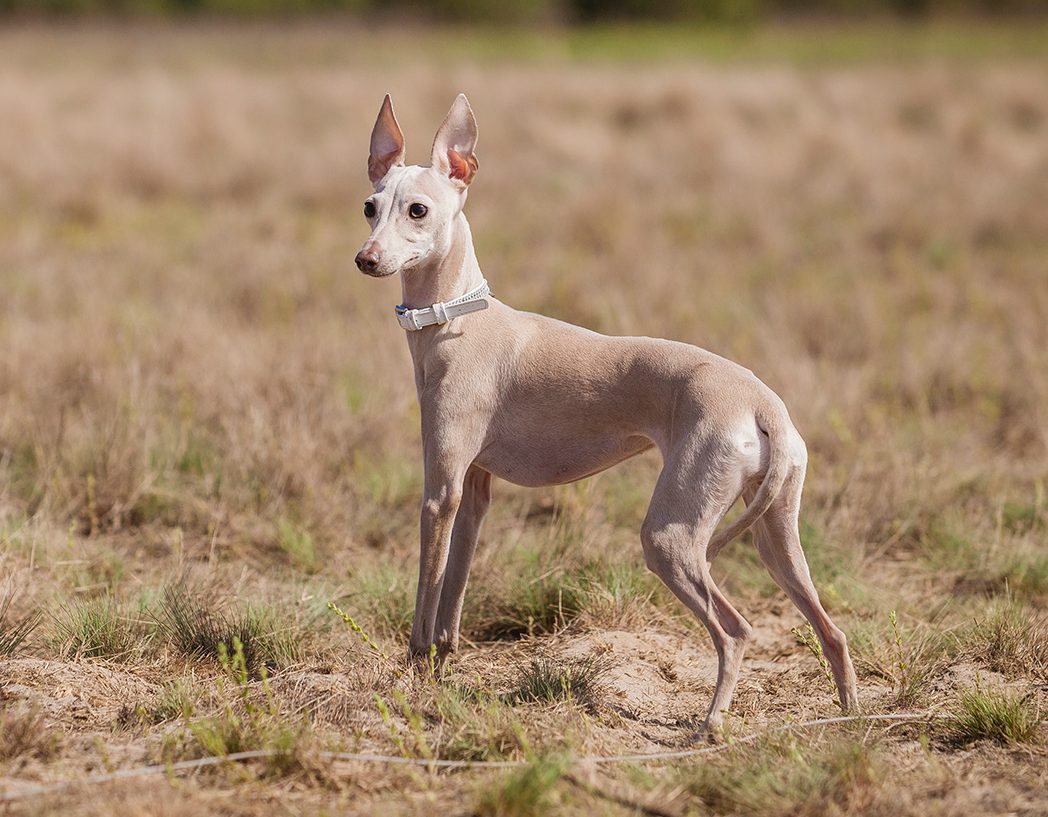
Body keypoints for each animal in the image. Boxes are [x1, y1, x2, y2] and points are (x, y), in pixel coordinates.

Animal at [354, 92, 859, 729]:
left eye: (417, 210)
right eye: (369, 206)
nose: (365, 259)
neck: (456, 320)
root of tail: (763, 402)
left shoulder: (438, 492)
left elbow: (426, 599)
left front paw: (415, 674)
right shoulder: (472, 495)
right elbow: (453, 600)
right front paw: (443, 672)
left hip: (670, 538)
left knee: (737, 630)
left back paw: (710, 724)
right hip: (774, 537)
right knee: (832, 630)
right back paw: (850, 718)